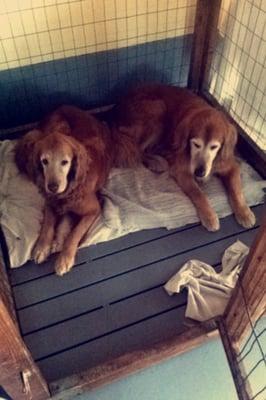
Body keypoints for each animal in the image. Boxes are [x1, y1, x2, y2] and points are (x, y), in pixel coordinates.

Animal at [15, 105, 113, 276]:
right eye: (44, 161)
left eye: (65, 162)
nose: (52, 187)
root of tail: (63, 106)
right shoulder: (49, 201)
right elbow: (47, 225)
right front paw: (42, 247)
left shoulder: (93, 210)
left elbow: (74, 234)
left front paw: (64, 259)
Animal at [108, 83, 256, 231]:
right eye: (196, 144)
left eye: (214, 147)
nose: (199, 172)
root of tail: (117, 107)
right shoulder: (182, 171)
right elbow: (198, 193)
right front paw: (209, 216)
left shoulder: (231, 165)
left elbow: (236, 190)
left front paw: (244, 212)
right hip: (157, 109)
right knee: (136, 149)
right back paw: (157, 162)